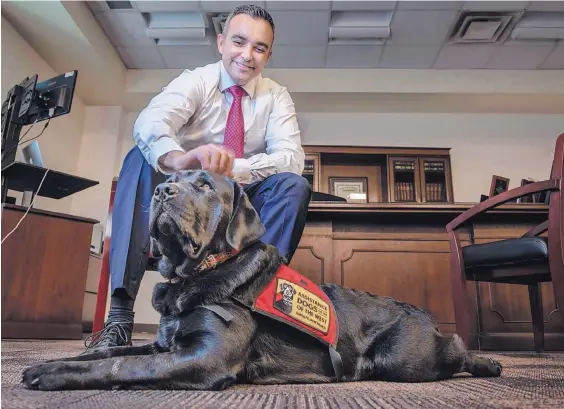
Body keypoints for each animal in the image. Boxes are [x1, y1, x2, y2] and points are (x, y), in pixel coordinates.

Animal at [22, 171, 502, 390]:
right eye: (170, 180)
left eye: (204, 184)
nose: (160, 191)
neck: (196, 273)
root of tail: (422, 313)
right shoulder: (165, 345)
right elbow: (115, 353)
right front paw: (59, 358)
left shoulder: (204, 357)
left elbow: (120, 366)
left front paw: (52, 373)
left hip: (404, 359)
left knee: (455, 348)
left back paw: (488, 362)